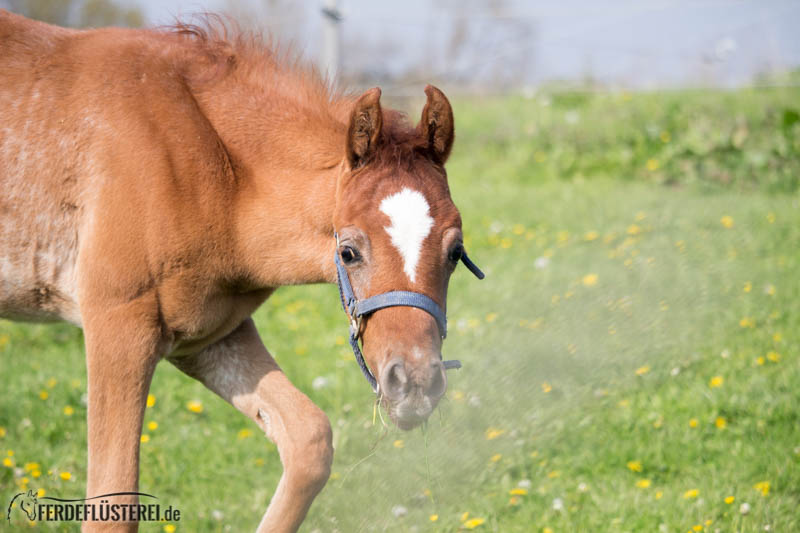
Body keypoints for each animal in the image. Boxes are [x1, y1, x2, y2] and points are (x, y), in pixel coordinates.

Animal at [0, 10, 482, 528]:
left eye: (454, 252)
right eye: (349, 252)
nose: (415, 382)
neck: (218, 173)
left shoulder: (207, 335)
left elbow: (309, 440)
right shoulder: (119, 328)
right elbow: (113, 500)